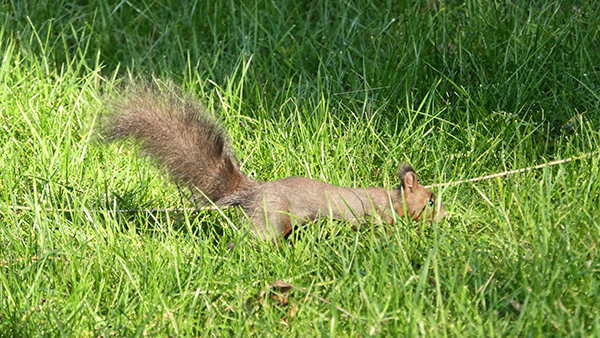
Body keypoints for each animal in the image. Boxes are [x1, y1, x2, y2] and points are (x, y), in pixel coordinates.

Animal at [103, 81, 448, 240]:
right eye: (430, 200)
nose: (446, 215)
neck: (392, 200)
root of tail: (254, 192)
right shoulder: (373, 216)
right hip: (269, 220)